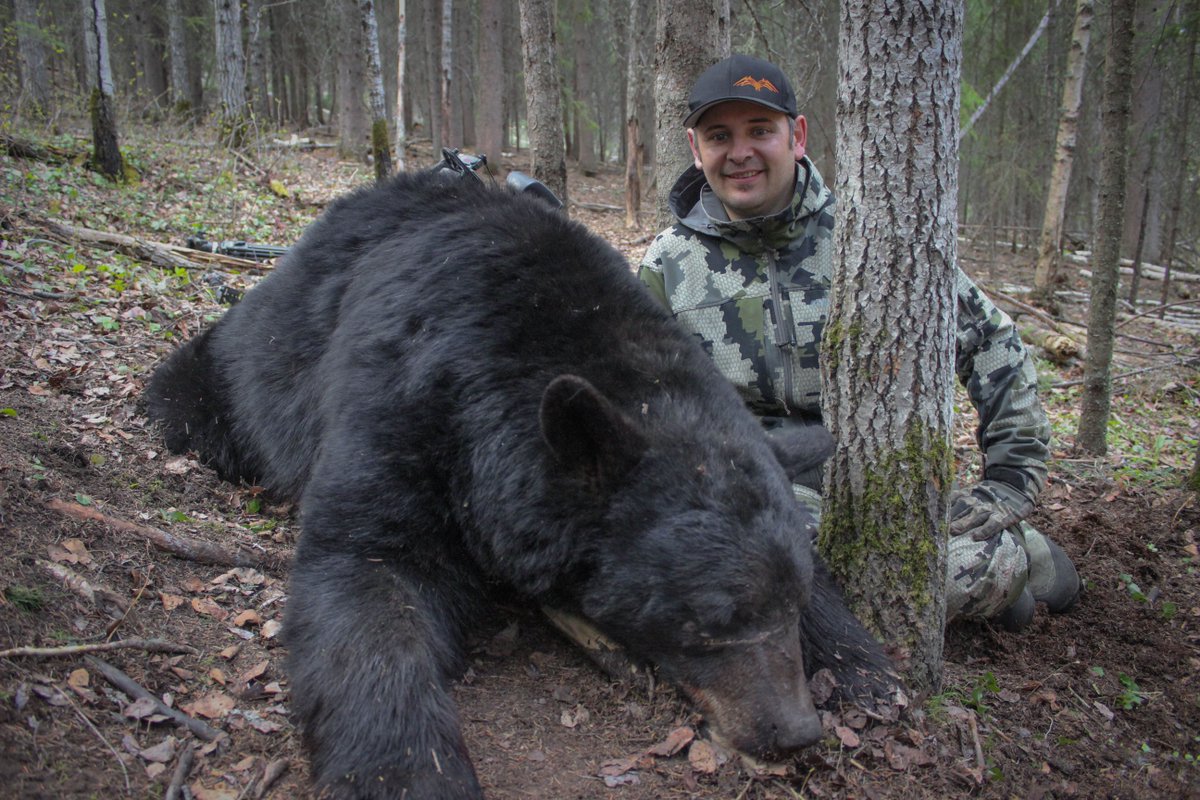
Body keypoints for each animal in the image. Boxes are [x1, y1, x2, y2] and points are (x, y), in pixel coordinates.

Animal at [144, 170, 896, 799]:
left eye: (791, 602)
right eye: (713, 617)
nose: (796, 732)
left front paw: (868, 669)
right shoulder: (405, 404)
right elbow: (366, 567)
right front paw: (411, 773)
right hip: (231, 376)